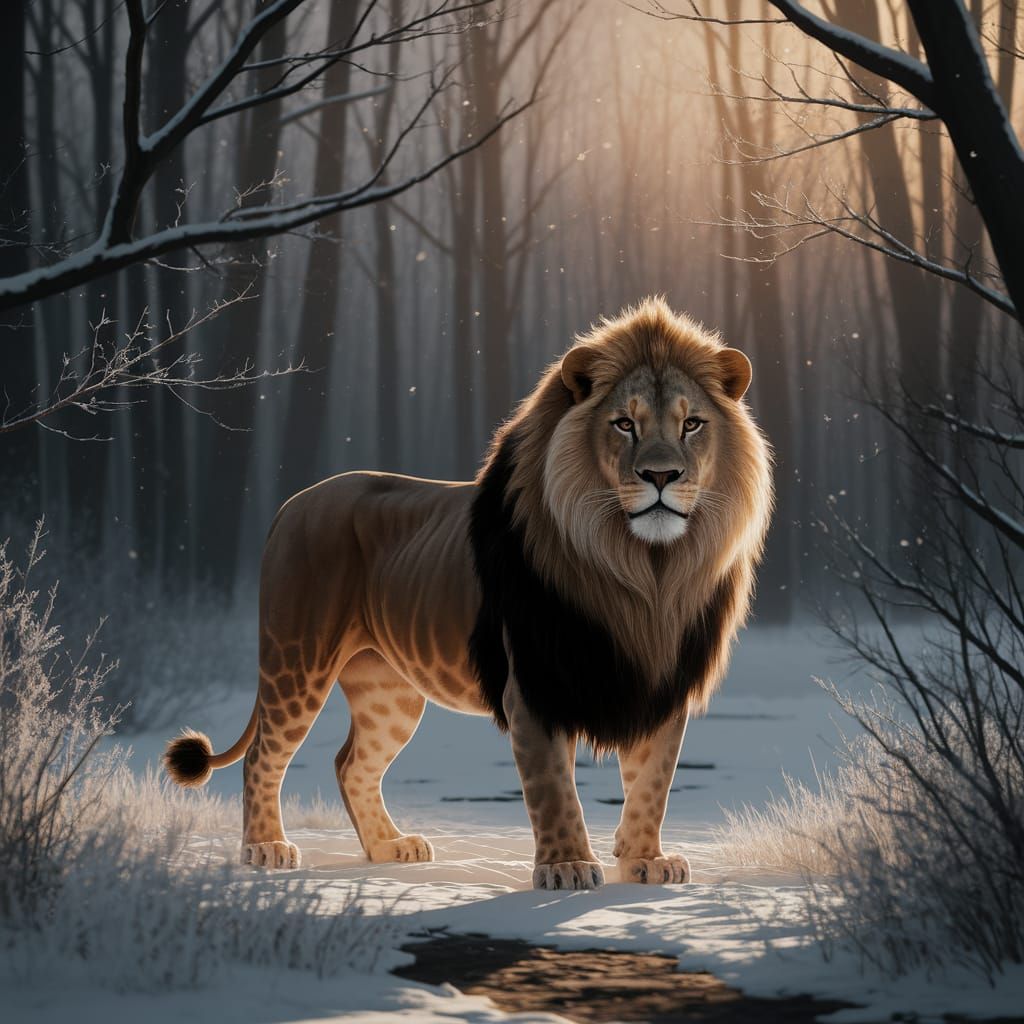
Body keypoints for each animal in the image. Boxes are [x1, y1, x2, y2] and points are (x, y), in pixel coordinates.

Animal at [165, 297, 773, 890]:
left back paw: (389, 847)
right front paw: (567, 867)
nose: (662, 475)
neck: (645, 574)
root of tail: (292, 503)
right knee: (262, 756)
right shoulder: (533, 681)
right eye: (624, 424)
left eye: (691, 424)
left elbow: (653, 780)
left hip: (388, 689)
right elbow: (553, 785)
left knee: (350, 762)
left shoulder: (664, 678)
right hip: (298, 658)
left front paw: (646, 861)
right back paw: (265, 848)